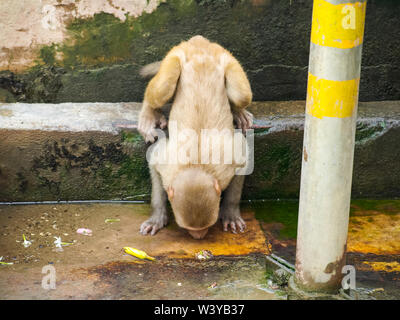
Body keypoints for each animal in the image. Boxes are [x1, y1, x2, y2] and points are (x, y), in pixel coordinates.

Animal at [138, 36, 253, 239]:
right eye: (189, 228)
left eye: (206, 226)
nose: (199, 236)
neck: (196, 167)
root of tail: (199, 42)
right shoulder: (166, 167)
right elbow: (153, 159)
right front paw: (157, 217)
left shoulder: (228, 165)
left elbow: (243, 154)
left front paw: (230, 213)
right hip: (176, 55)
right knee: (161, 91)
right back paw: (149, 114)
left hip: (224, 57)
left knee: (241, 95)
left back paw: (238, 111)